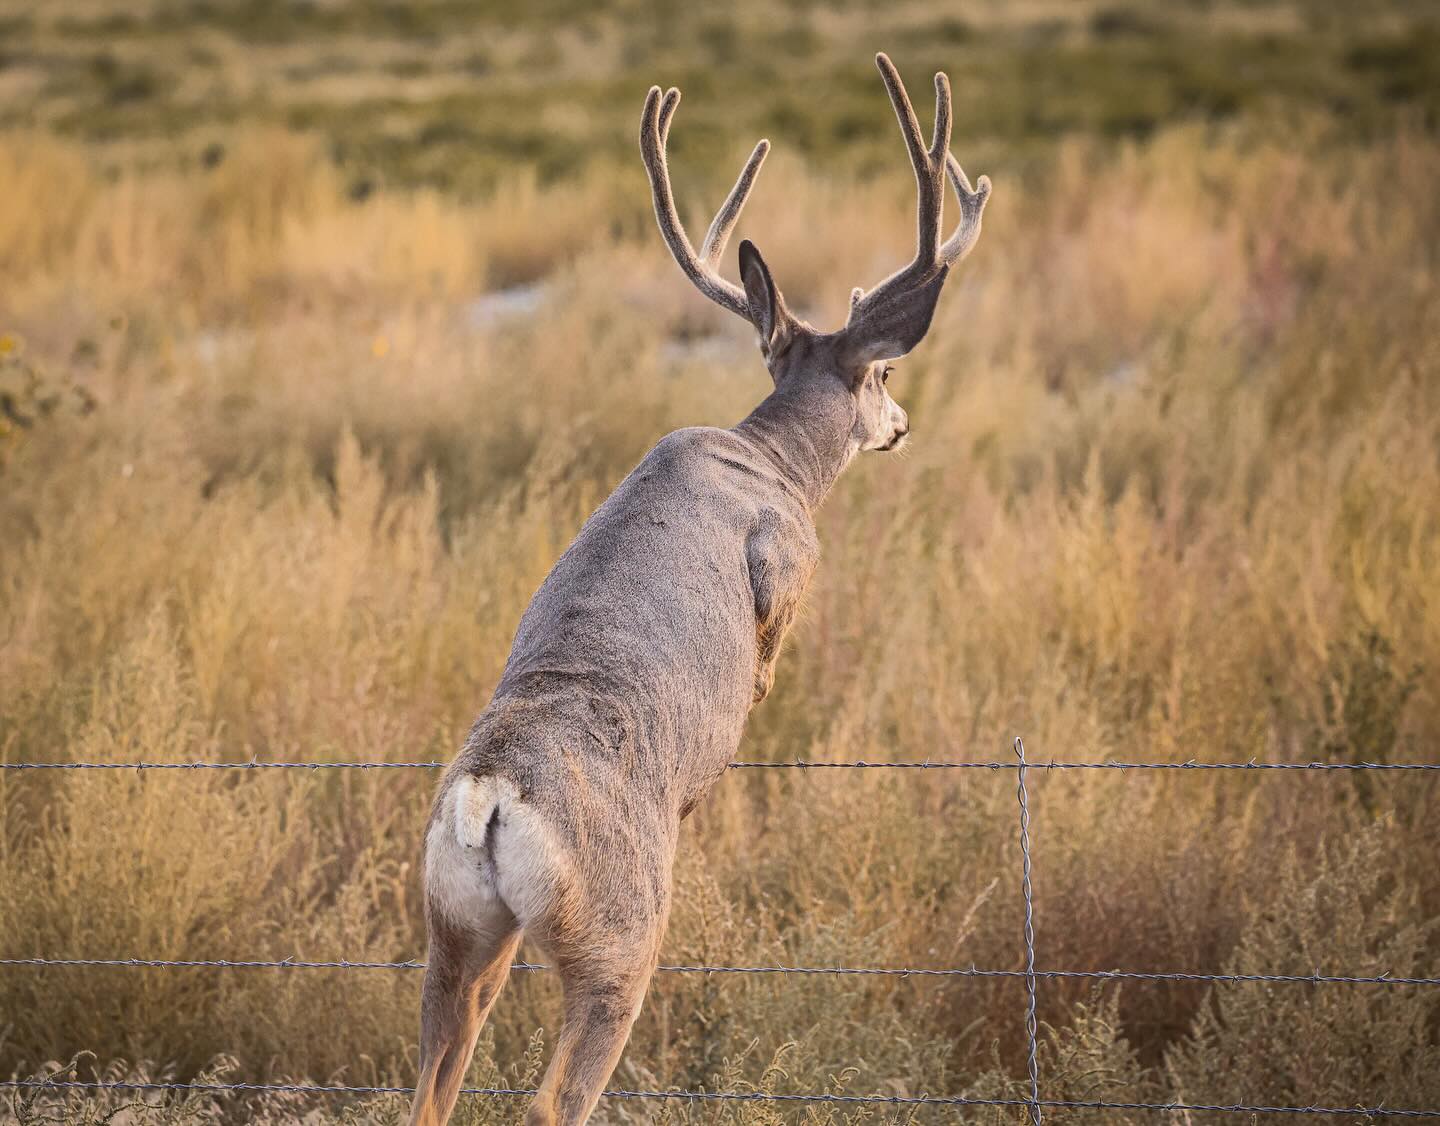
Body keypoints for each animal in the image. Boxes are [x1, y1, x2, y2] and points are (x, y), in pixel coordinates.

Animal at [407, 52, 990, 1126]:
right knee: (556, 1094)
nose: (903, 424)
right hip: (618, 930)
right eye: (884, 375)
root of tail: (491, 795)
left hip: (453, 928)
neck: (771, 458)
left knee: (435, 1072)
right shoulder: (787, 560)